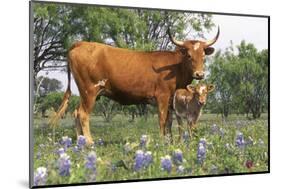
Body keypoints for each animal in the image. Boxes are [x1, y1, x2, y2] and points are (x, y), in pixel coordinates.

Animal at [50, 27, 219, 145]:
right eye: (189, 55)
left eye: (203, 56)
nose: (199, 74)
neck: (175, 67)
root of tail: (81, 43)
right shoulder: (162, 97)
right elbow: (162, 120)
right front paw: (163, 142)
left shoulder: (171, 100)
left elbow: (169, 121)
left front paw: (170, 142)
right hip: (89, 91)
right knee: (83, 114)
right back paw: (90, 143)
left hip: (86, 93)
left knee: (76, 112)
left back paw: (81, 142)